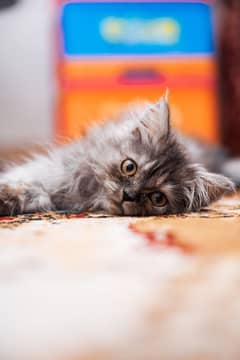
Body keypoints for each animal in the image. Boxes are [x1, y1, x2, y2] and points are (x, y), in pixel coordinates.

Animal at [0, 93, 236, 217]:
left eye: (158, 198)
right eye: (129, 167)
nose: (128, 194)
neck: (91, 194)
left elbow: (36, 196)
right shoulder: (56, 169)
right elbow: (26, 180)